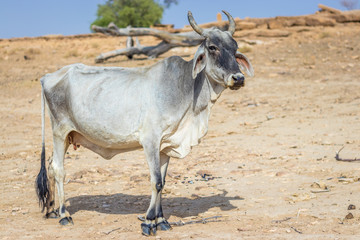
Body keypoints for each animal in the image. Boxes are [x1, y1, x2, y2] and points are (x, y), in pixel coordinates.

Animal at [35, 10, 253, 235]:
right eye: (212, 47)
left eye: (235, 48)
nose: (238, 78)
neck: (185, 88)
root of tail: (48, 76)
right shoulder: (150, 141)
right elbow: (155, 181)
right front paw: (148, 221)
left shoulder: (165, 146)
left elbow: (163, 182)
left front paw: (162, 220)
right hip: (59, 132)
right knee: (58, 169)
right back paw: (63, 214)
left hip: (69, 136)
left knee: (50, 165)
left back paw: (52, 210)